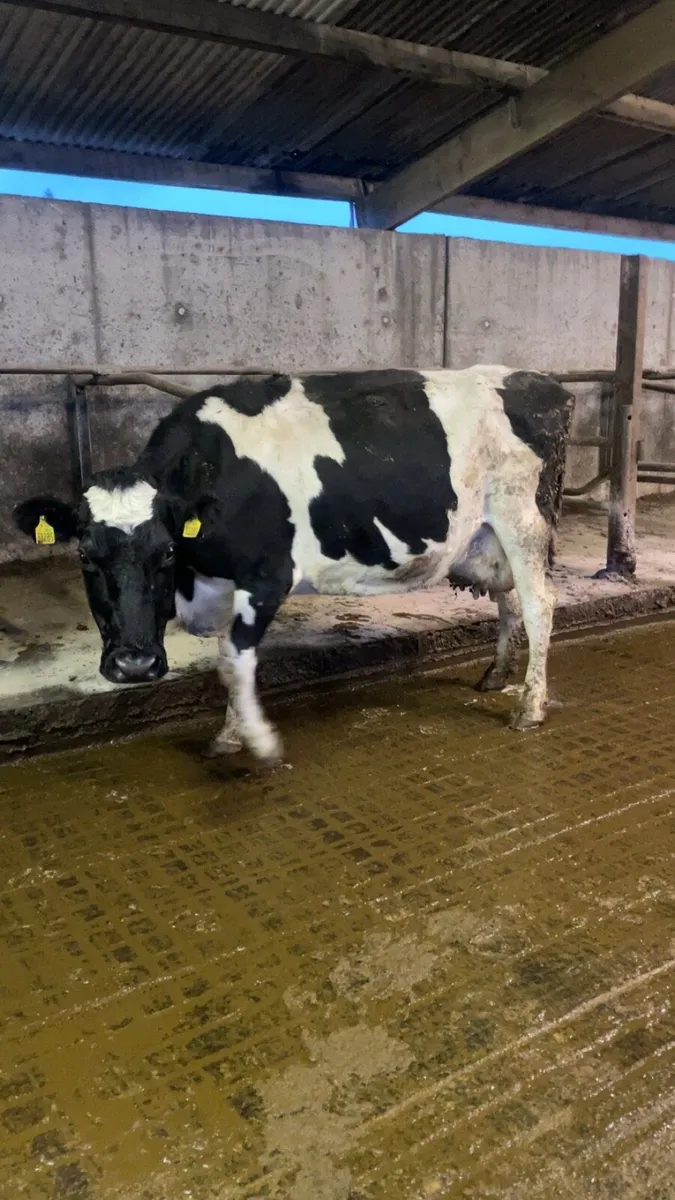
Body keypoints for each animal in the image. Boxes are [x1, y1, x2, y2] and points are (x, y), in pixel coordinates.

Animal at [14, 367, 574, 763]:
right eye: (84, 554)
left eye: (168, 551)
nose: (134, 665)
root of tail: (541, 382)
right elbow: (226, 659)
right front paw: (232, 733)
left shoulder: (267, 577)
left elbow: (235, 660)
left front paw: (254, 740)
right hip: (488, 537)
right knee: (509, 601)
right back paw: (496, 675)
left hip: (522, 520)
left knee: (539, 605)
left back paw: (529, 706)